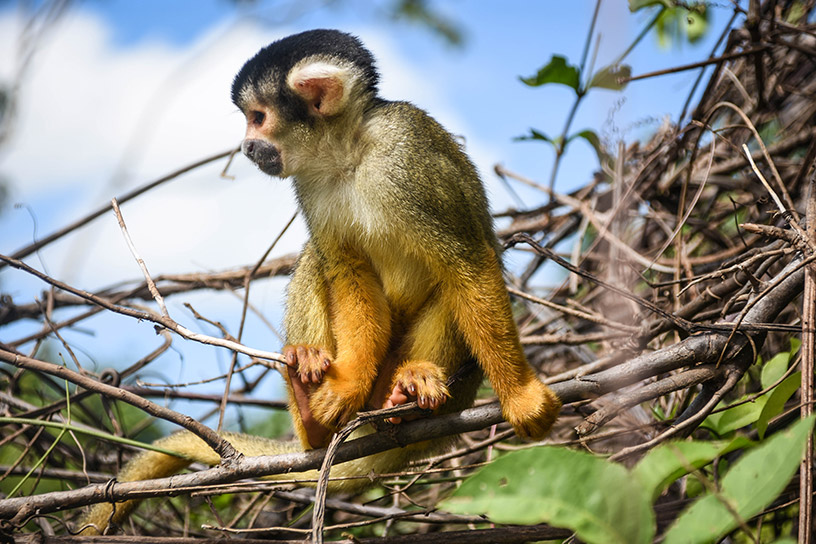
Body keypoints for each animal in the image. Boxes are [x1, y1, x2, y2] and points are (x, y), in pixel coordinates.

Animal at [77, 29, 560, 535]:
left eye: (257, 118)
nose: (246, 145)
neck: (349, 152)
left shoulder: (408, 155)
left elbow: (467, 260)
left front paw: (521, 396)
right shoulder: (310, 183)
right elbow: (345, 271)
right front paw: (344, 385)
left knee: (456, 280)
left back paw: (413, 387)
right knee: (316, 260)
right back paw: (312, 415)